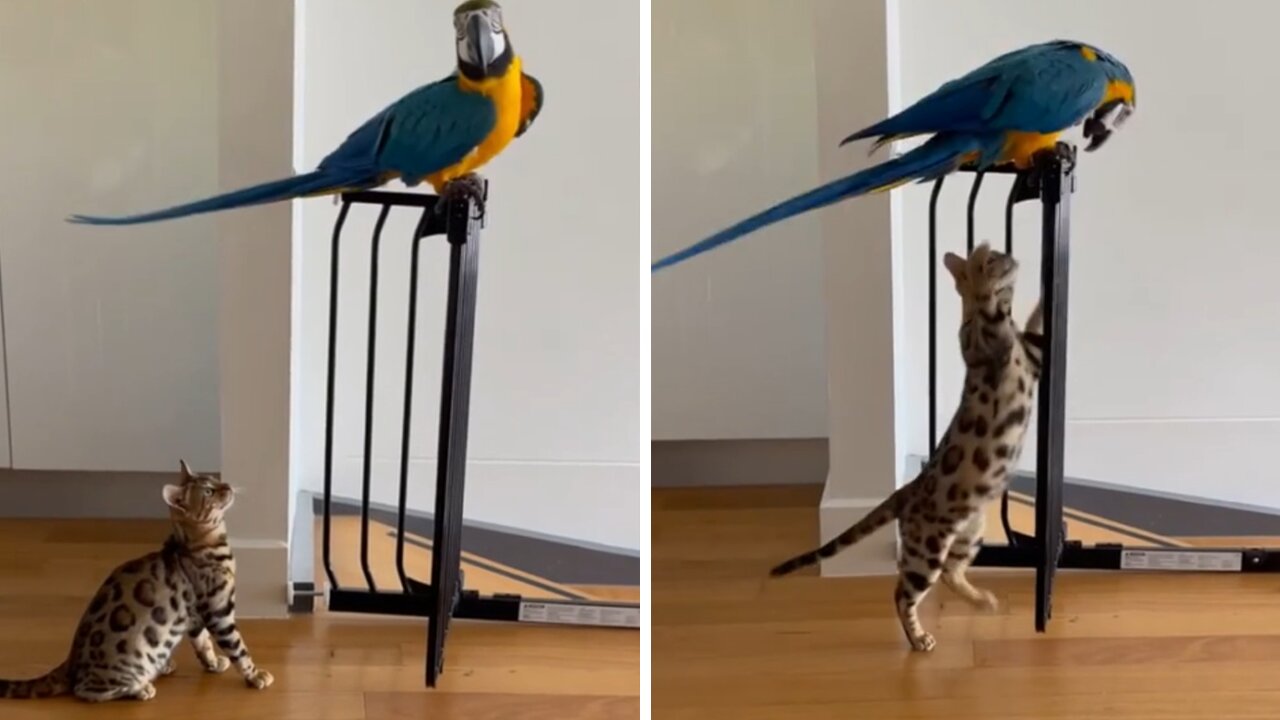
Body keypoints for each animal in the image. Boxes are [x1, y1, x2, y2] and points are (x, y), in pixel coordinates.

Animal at [0, 458, 270, 702]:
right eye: (208, 491)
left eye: (213, 479)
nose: (229, 486)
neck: (203, 544)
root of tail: (70, 662)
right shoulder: (218, 610)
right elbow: (238, 647)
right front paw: (255, 675)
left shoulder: (195, 615)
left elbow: (203, 643)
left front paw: (212, 663)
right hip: (125, 665)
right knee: (85, 691)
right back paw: (141, 689)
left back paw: (164, 667)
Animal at [762, 240, 1044, 650]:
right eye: (994, 259)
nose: (1010, 256)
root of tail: (906, 490)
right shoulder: (985, 340)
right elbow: (986, 302)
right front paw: (981, 264)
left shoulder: (1033, 356)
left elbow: (1037, 320)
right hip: (926, 548)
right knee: (902, 593)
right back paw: (918, 638)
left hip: (969, 532)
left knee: (949, 575)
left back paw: (982, 601)